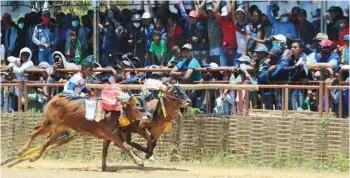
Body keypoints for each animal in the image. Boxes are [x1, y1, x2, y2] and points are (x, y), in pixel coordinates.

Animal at [17, 94, 152, 167]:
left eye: (145, 103)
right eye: (137, 105)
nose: (150, 115)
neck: (116, 111)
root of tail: (55, 97)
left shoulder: (110, 135)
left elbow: (106, 151)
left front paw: (104, 166)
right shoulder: (111, 133)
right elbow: (126, 146)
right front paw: (139, 161)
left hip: (59, 128)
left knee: (47, 141)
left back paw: (34, 157)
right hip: (50, 123)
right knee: (35, 132)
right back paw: (22, 150)